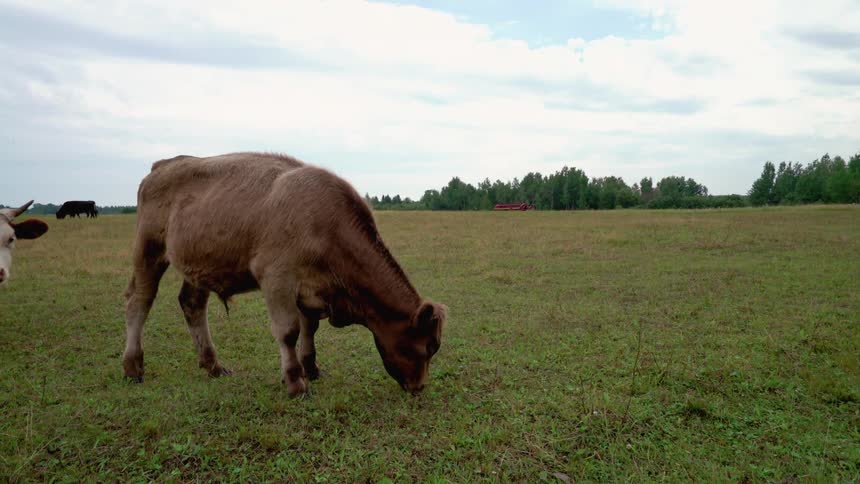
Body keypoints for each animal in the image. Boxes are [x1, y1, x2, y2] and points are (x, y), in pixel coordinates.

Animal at [123, 152, 446, 396]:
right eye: (429, 346)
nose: (420, 387)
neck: (328, 226)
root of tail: (163, 165)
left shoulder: (311, 288)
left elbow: (309, 328)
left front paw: (311, 368)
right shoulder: (276, 277)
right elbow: (289, 331)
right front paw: (295, 382)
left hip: (198, 265)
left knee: (192, 305)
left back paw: (213, 365)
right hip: (148, 250)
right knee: (139, 302)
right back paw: (132, 367)